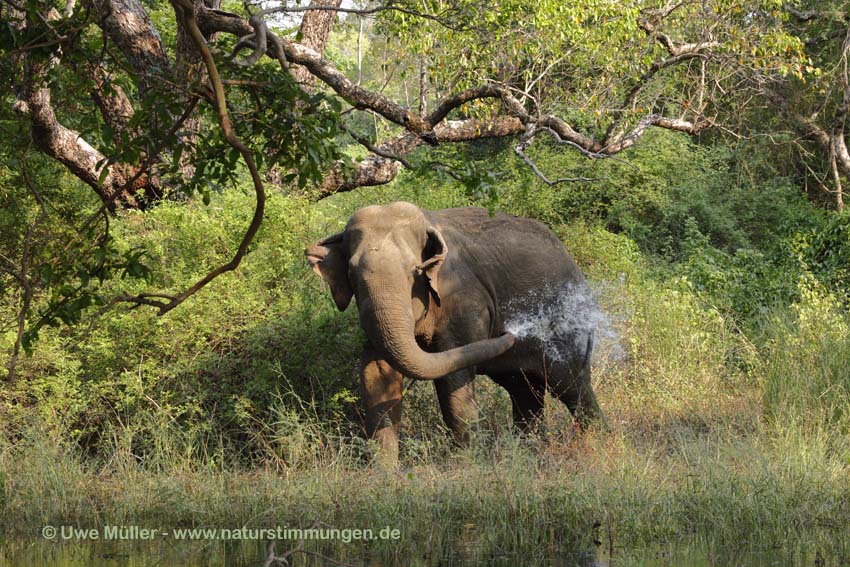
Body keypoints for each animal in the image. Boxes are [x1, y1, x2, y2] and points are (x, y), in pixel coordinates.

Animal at [304, 202, 604, 464]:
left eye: (413, 270)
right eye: (352, 273)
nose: (509, 330)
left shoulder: (464, 299)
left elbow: (453, 375)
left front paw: (468, 464)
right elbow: (376, 372)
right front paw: (384, 472)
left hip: (570, 323)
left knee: (571, 384)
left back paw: (596, 443)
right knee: (524, 391)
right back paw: (529, 452)